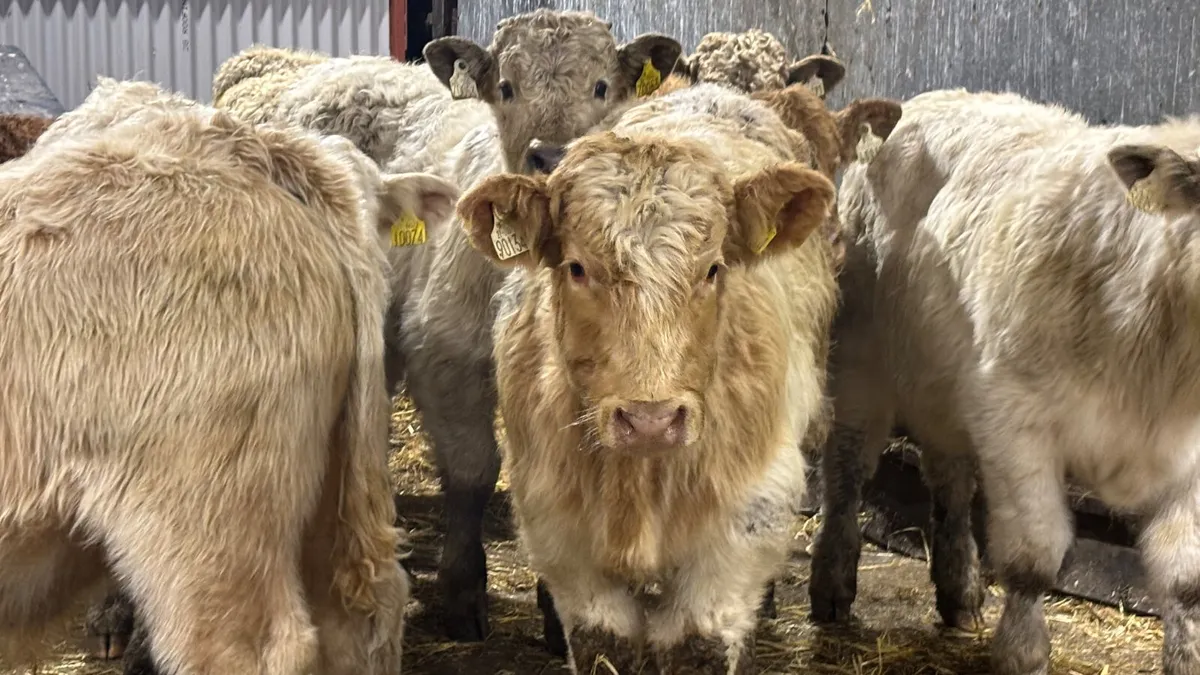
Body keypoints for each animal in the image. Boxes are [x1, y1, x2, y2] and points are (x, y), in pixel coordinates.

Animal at [454, 82, 839, 673]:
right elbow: (602, 646)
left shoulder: (735, 540)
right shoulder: (562, 538)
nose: (651, 420)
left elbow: (698, 647)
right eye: (577, 267)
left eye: (713, 269)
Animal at [811, 87, 1200, 675]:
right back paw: (832, 585)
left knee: (950, 481)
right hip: (861, 361)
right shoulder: (1015, 419)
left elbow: (1183, 579)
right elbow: (1032, 557)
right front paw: (1022, 651)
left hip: (944, 387)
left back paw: (959, 590)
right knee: (847, 472)